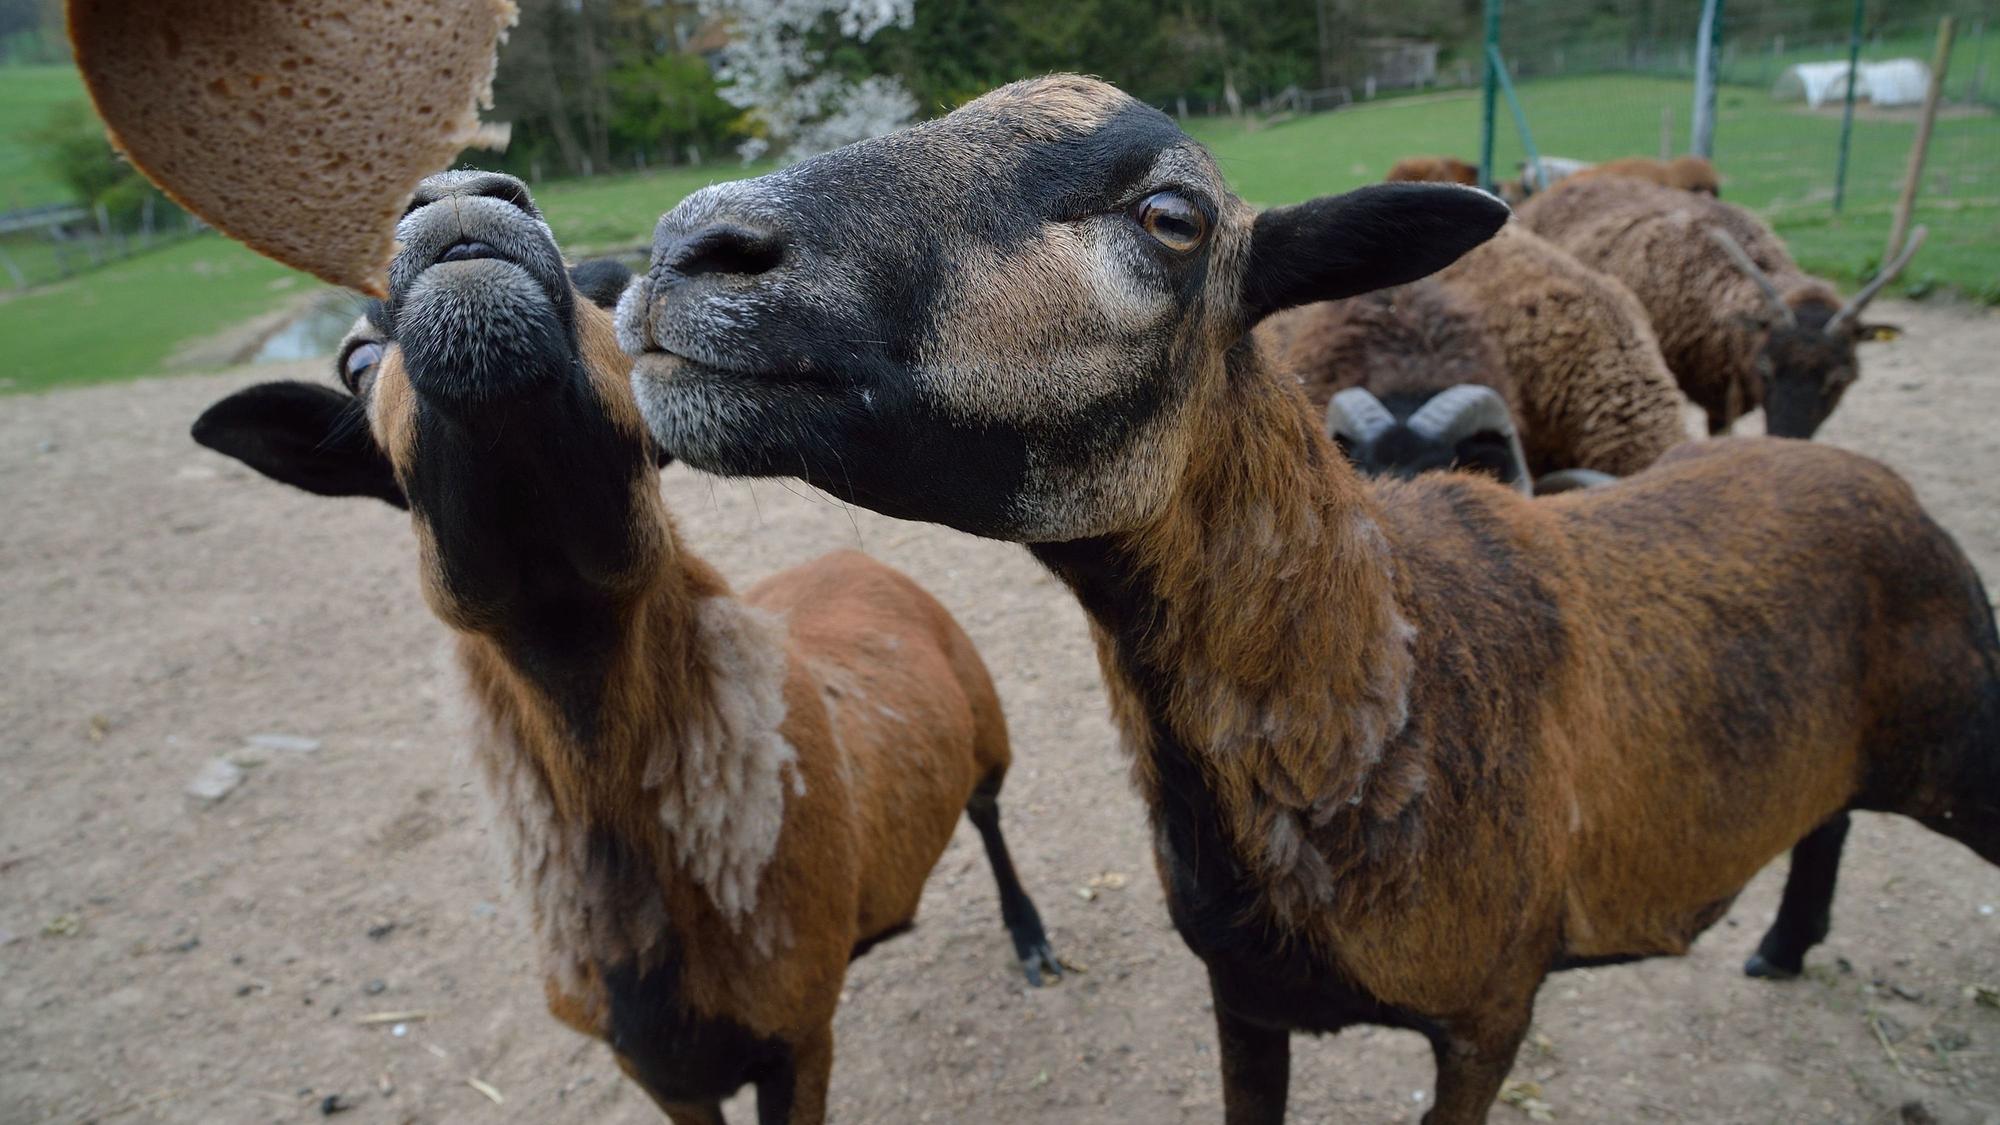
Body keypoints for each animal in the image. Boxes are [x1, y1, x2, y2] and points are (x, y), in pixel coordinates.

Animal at [189, 171, 1060, 1124]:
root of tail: (847, 555)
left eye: (613, 302)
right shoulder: (660, 1073)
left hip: (988, 727)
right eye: (354, 362)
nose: (458, 198)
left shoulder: (799, 1036)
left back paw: (1031, 938)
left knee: (989, 813)